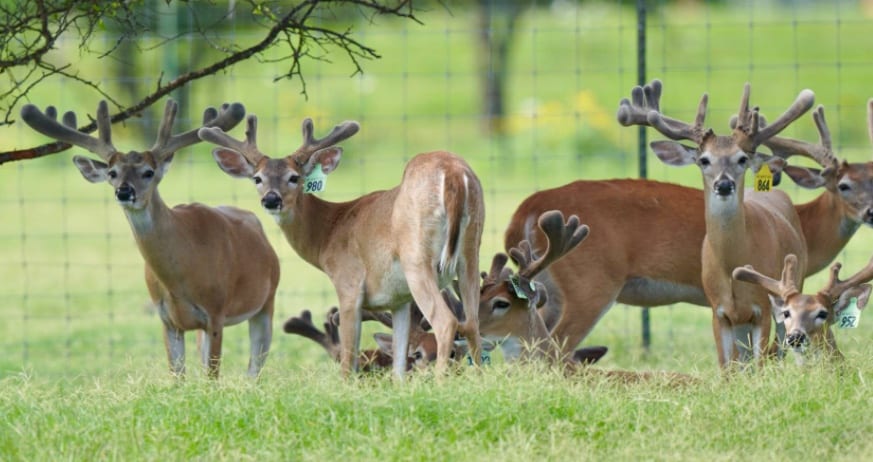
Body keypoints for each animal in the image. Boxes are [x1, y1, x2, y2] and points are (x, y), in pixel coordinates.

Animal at [19, 100, 281, 379]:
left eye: (148, 172)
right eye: (112, 173)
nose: (124, 192)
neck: (183, 275)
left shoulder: (216, 310)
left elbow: (212, 376)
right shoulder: (167, 318)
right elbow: (178, 377)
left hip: (267, 300)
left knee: (254, 367)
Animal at [198, 115, 485, 379]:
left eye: (294, 177)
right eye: (257, 178)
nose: (271, 199)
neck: (330, 231)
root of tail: (453, 173)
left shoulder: (349, 284)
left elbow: (348, 362)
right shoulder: (399, 299)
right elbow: (399, 366)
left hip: (417, 258)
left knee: (446, 322)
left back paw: (440, 381)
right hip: (470, 253)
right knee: (472, 322)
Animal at [616, 79, 814, 369]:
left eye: (742, 158)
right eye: (704, 159)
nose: (723, 184)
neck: (732, 266)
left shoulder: (763, 309)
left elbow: (761, 363)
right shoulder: (719, 311)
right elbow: (726, 367)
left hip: (792, 286)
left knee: (779, 351)